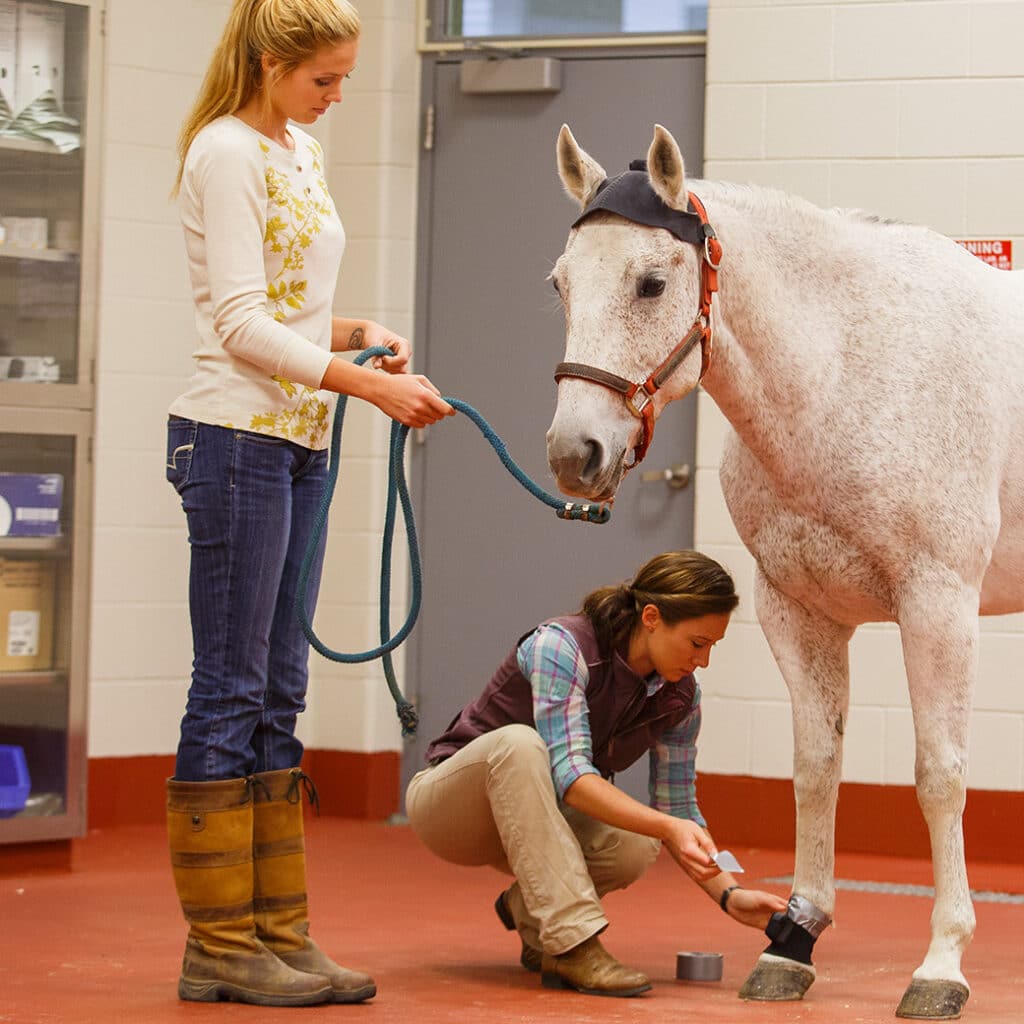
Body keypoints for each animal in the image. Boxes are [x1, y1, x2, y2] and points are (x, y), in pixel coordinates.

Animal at [544, 123, 1024, 1019]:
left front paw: (942, 962)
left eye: (651, 283)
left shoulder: (937, 603)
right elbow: (814, 769)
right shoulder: (796, 610)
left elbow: (939, 776)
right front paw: (794, 941)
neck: (848, 368)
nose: (573, 453)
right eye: (559, 283)